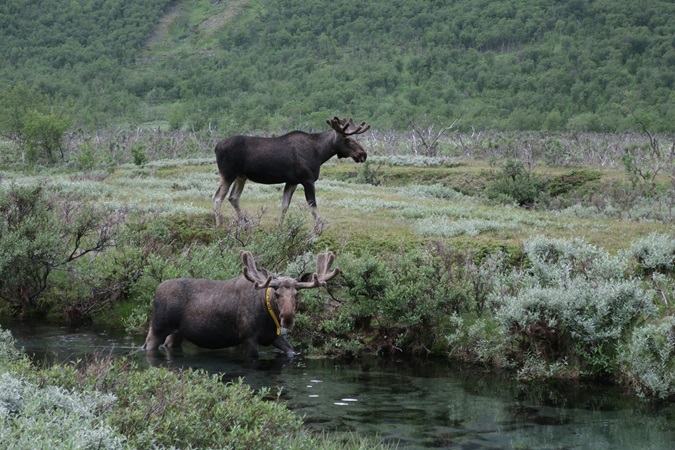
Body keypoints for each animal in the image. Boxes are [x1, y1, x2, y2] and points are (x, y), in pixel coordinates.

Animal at [145, 250, 340, 358]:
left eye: (296, 294)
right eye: (276, 294)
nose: (288, 318)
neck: (268, 318)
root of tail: (155, 290)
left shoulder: (275, 337)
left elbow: (292, 351)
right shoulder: (248, 337)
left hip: (177, 333)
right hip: (158, 327)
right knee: (148, 345)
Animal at [213, 117, 370, 225]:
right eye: (347, 139)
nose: (363, 154)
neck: (320, 154)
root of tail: (215, 147)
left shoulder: (292, 181)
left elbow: (284, 206)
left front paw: (280, 228)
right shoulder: (307, 180)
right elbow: (313, 206)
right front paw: (317, 230)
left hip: (241, 176)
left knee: (233, 197)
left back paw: (245, 223)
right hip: (228, 174)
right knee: (217, 199)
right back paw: (219, 225)